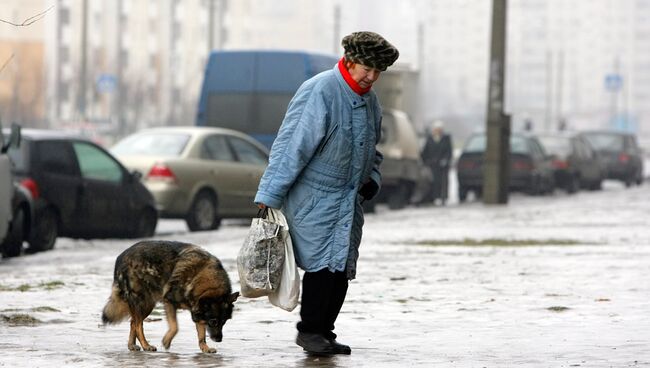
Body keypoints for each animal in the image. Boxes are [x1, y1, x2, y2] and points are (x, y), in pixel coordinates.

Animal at [102, 240, 239, 352]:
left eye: (224, 321)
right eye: (213, 322)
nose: (219, 339)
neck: (200, 277)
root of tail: (120, 257)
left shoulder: (197, 311)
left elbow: (201, 334)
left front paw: (204, 347)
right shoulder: (169, 302)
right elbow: (175, 327)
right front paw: (166, 341)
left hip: (148, 305)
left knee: (133, 322)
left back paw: (132, 345)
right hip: (142, 302)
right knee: (138, 324)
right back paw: (146, 345)